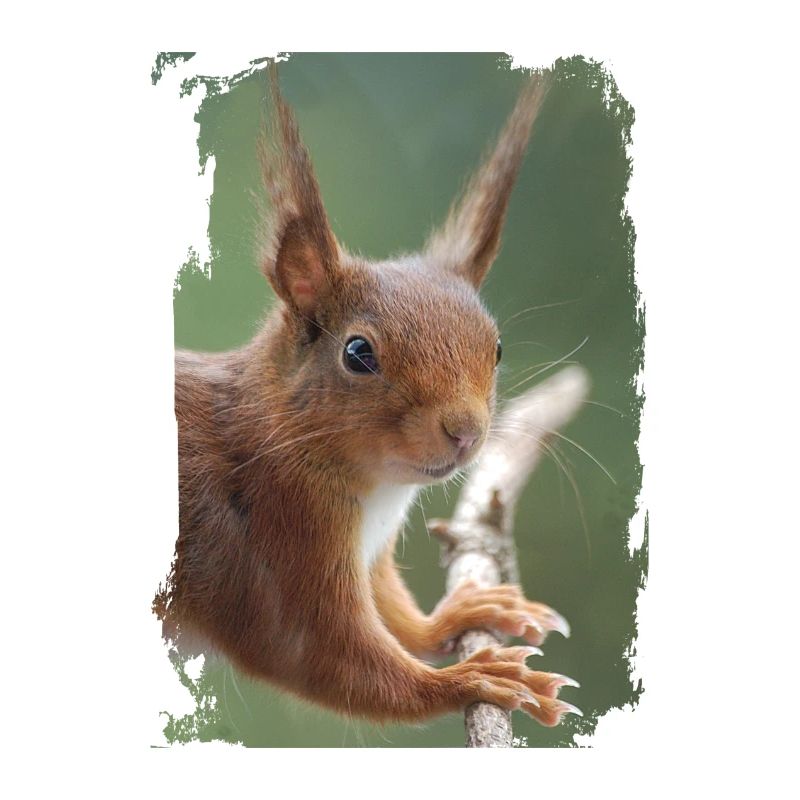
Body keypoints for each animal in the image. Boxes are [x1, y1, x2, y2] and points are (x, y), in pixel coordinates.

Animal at [156, 64, 581, 728]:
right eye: (358, 354)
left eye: (497, 348)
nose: (464, 432)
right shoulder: (275, 542)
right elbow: (322, 656)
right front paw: (472, 679)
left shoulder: (370, 552)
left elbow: (396, 616)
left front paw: (465, 613)